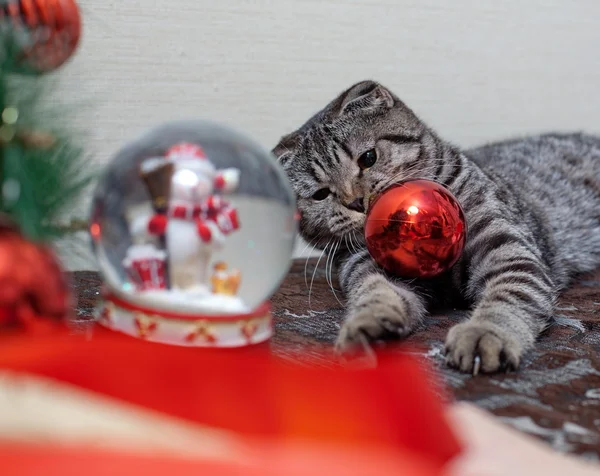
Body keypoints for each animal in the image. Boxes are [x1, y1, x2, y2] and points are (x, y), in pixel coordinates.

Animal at [274, 80, 600, 374]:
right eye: (320, 194)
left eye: (368, 158)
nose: (355, 201)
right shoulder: (363, 264)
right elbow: (376, 292)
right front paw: (368, 325)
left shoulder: (506, 247)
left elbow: (508, 293)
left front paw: (484, 333)